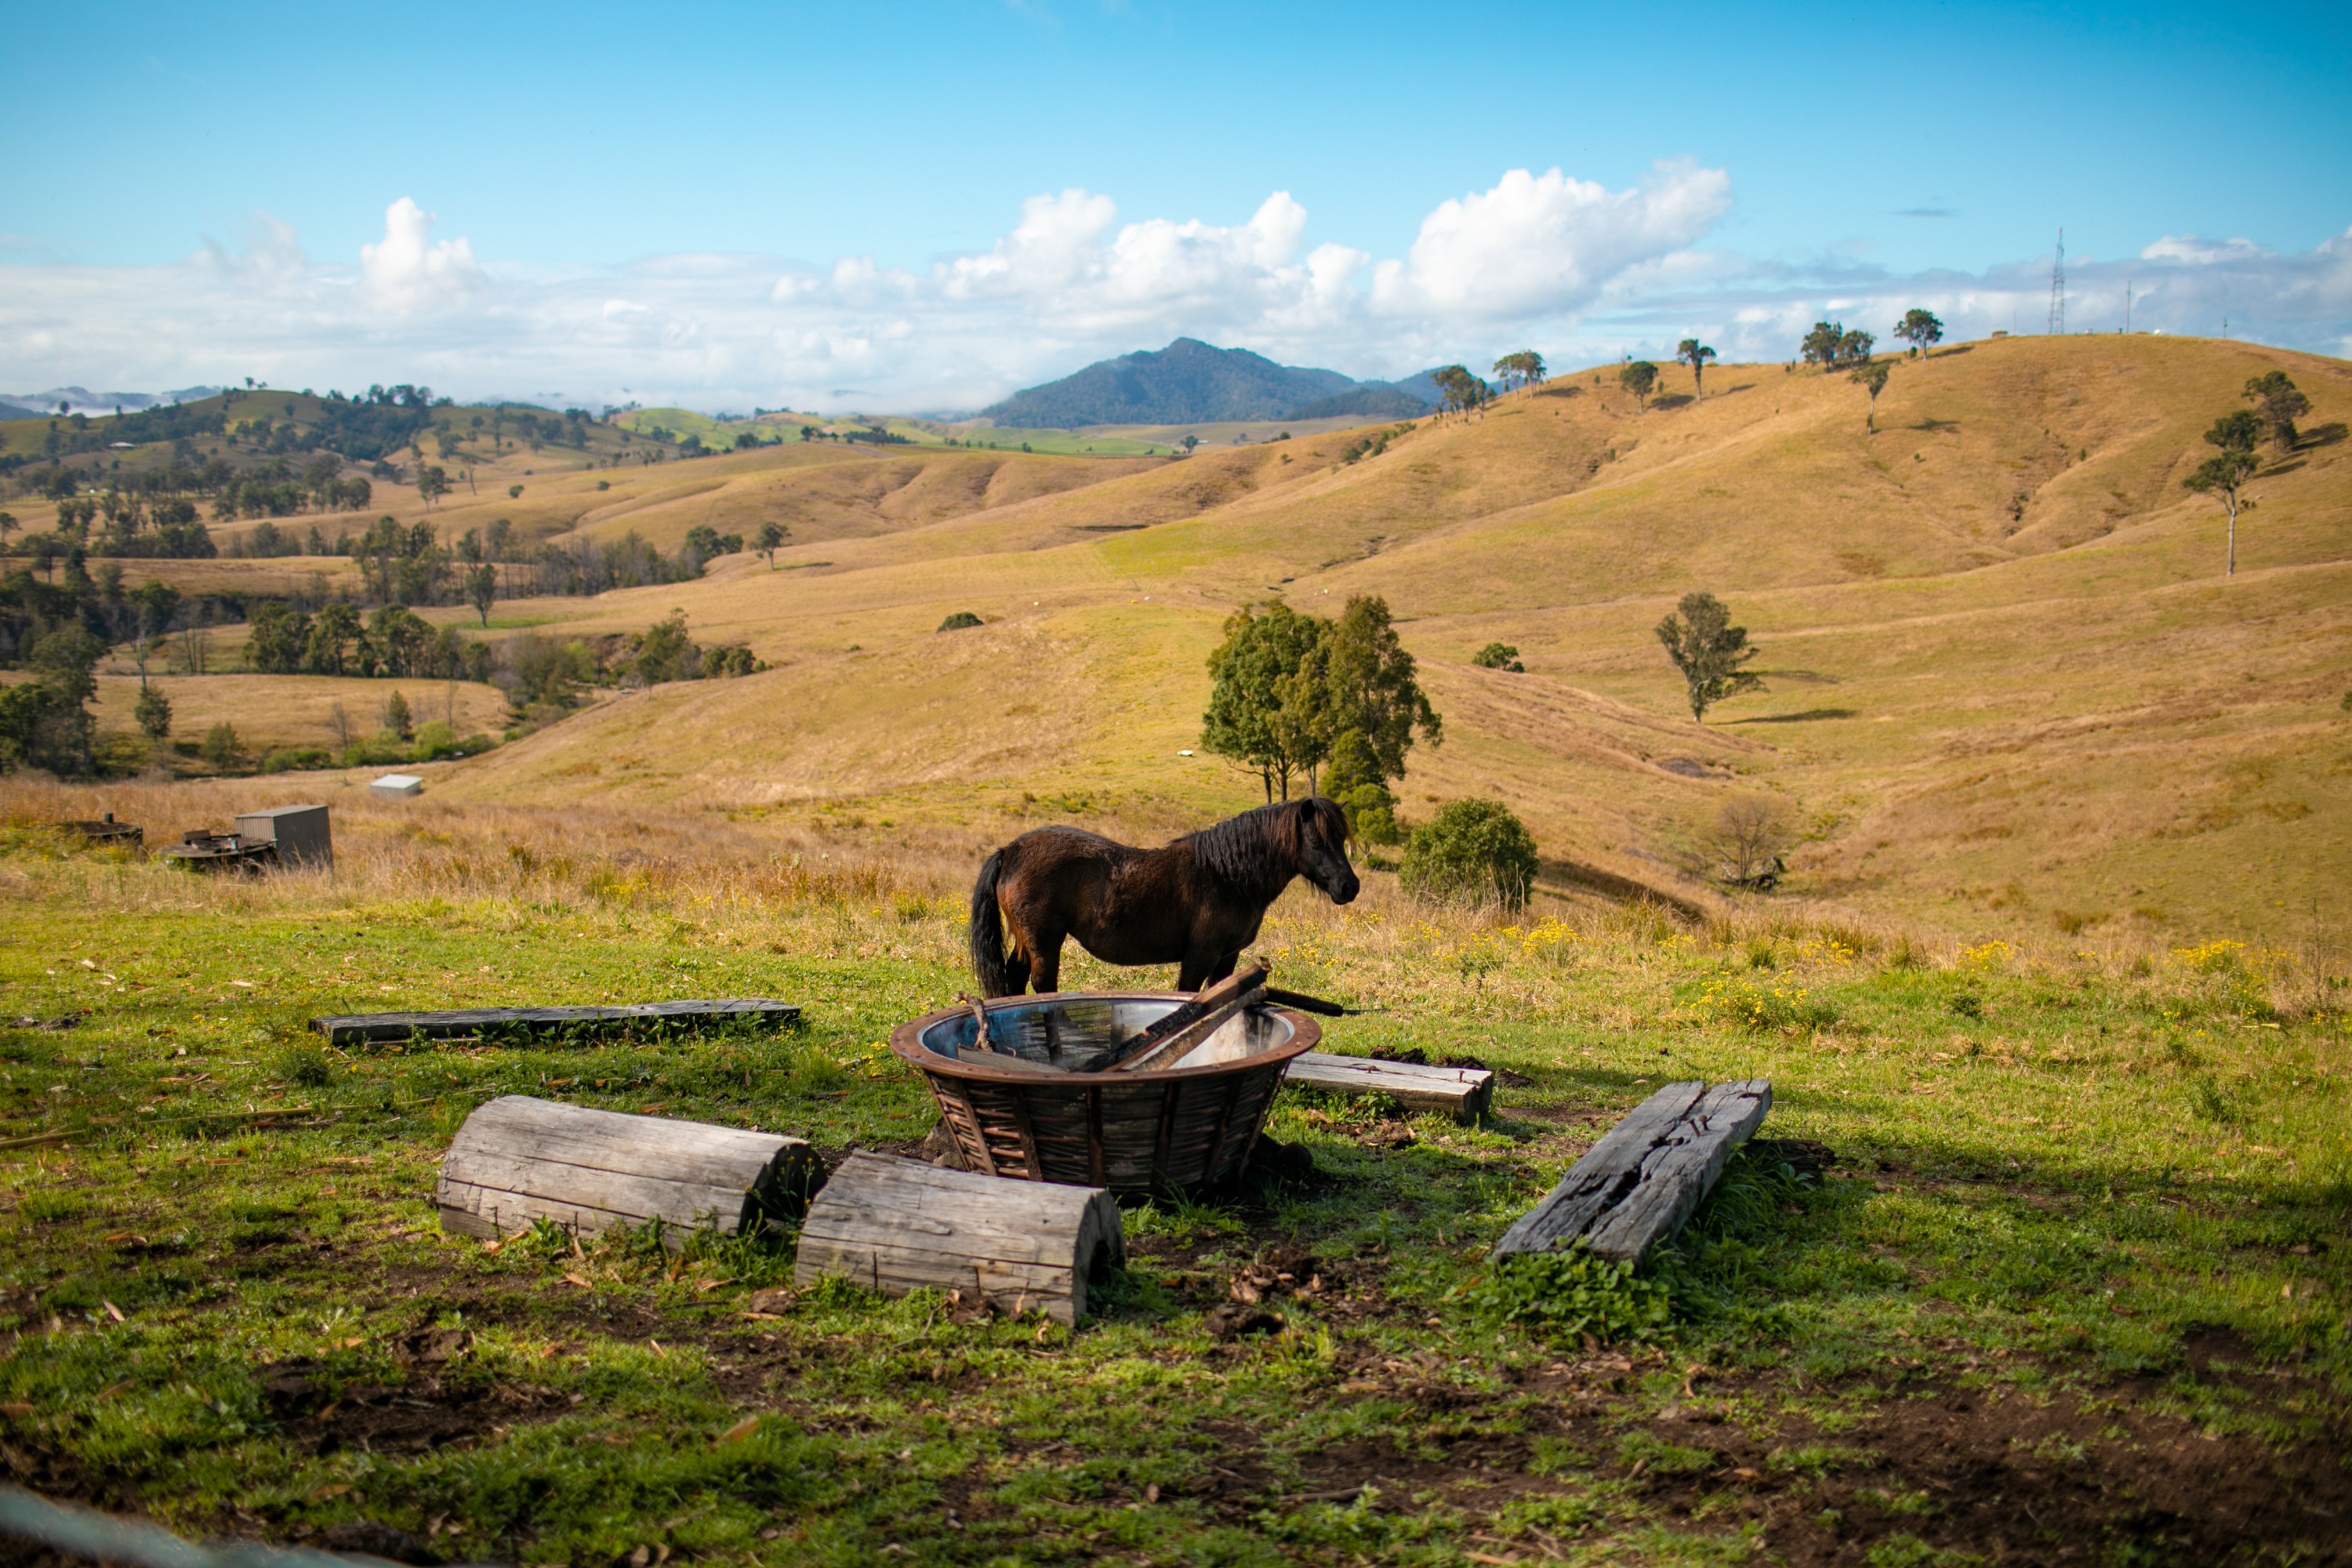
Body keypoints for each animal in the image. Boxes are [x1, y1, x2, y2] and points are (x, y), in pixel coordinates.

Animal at [964, 804, 1364, 1001]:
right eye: (1317, 841)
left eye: (1341, 838)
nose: (1350, 887)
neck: (1226, 875)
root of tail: (1010, 850)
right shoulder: (1200, 955)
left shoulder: (1227, 956)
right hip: (1045, 943)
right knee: (1042, 984)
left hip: (1026, 942)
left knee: (1014, 979)